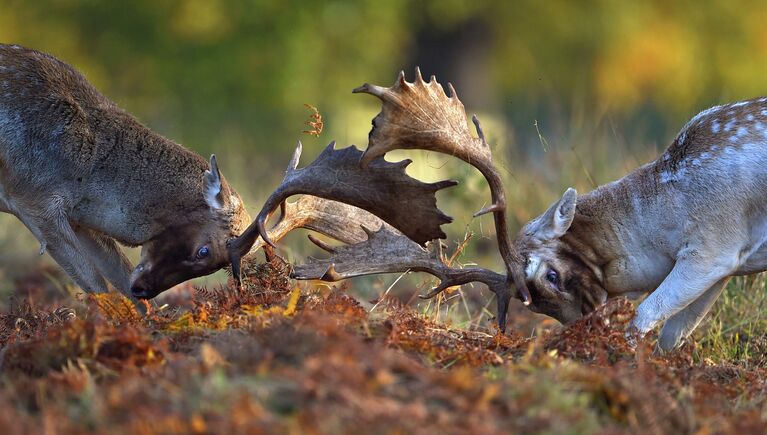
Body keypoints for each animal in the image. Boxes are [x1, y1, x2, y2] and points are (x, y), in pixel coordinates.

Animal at [0, 44, 249, 304]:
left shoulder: (76, 217)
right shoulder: (34, 200)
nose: (142, 290)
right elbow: (97, 285)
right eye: (203, 251)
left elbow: (118, 273)